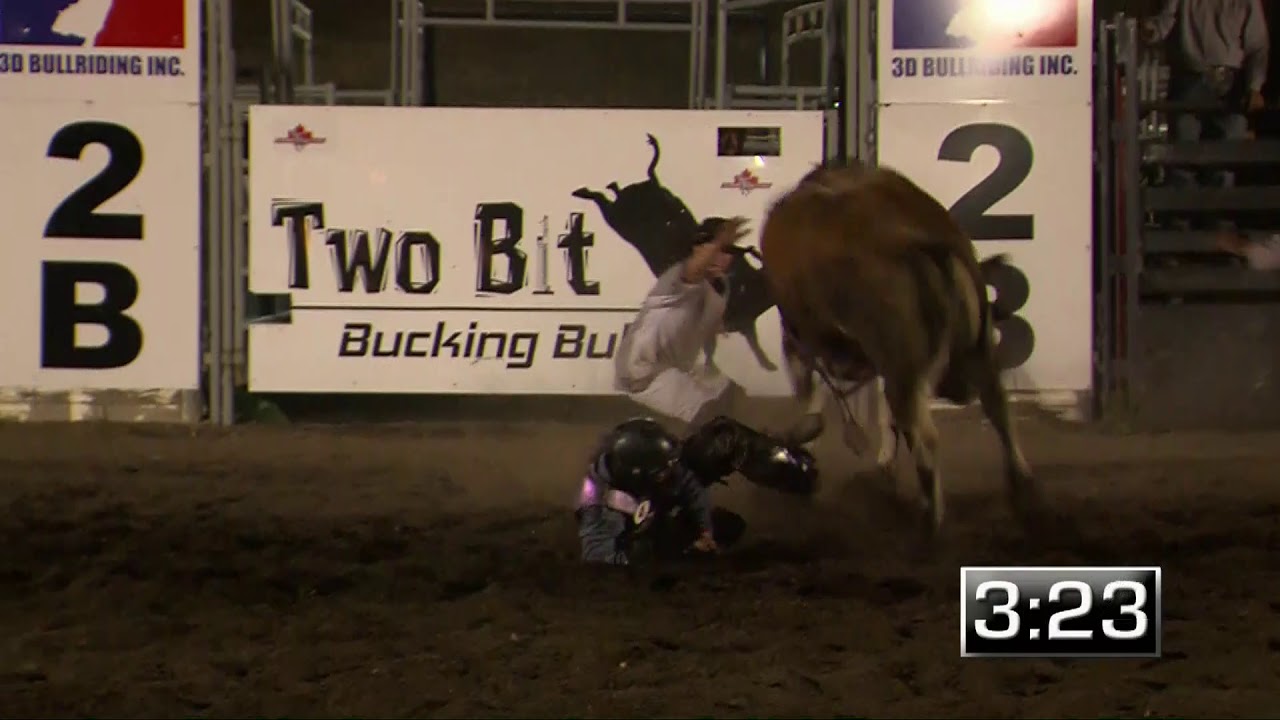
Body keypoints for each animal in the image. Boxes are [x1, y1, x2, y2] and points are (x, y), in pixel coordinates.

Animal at [572, 134, 778, 372]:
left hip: (629, 211)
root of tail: (646, 187)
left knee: (618, 190)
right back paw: (583, 191)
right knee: (604, 199)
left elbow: (746, 343)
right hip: (618, 219)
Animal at [759, 160, 1039, 535]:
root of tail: (922, 239)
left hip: (901, 364)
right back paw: (1019, 482)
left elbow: (813, 397)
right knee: (998, 406)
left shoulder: (802, 339)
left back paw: (930, 516)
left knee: (925, 436)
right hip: (973, 352)